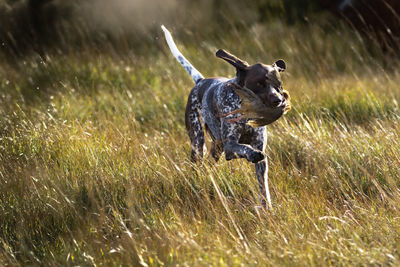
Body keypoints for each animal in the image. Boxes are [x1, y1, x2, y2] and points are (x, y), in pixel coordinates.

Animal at [161, 25, 290, 209]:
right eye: (259, 83)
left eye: (278, 85)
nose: (278, 100)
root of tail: (200, 81)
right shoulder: (230, 146)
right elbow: (245, 148)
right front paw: (252, 154)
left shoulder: (260, 156)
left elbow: (263, 188)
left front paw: (267, 209)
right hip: (198, 143)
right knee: (197, 164)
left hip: (216, 146)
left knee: (210, 164)